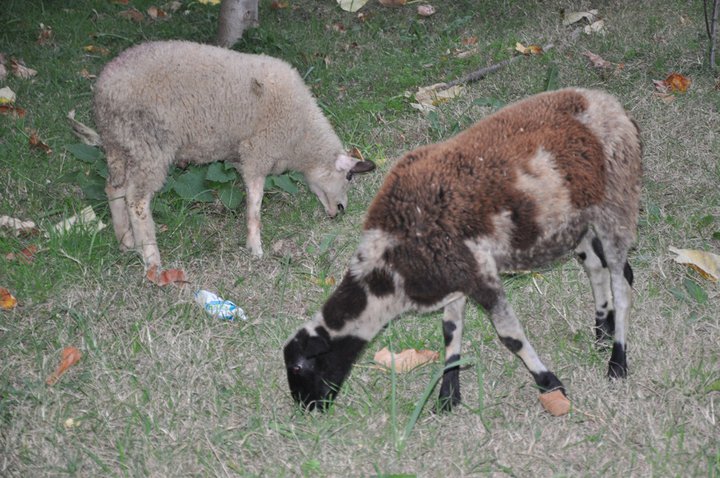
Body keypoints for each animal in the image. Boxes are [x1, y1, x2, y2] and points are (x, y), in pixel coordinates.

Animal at [94, 40, 376, 272]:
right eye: (349, 176)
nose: (341, 210)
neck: (301, 137)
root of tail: (104, 89)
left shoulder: (244, 157)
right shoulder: (258, 152)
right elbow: (255, 205)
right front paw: (256, 247)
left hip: (120, 144)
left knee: (114, 188)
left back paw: (126, 241)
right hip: (150, 143)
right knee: (137, 200)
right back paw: (152, 259)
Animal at [282, 88, 640, 412]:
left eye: (299, 366)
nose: (308, 408)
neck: (389, 272)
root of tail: (607, 102)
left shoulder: (477, 273)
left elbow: (510, 337)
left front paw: (549, 382)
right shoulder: (455, 276)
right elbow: (451, 332)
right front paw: (448, 395)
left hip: (617, 199)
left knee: (622, 285)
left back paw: (617, 360)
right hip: (575, 221)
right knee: (598, 267)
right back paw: (601, 331)